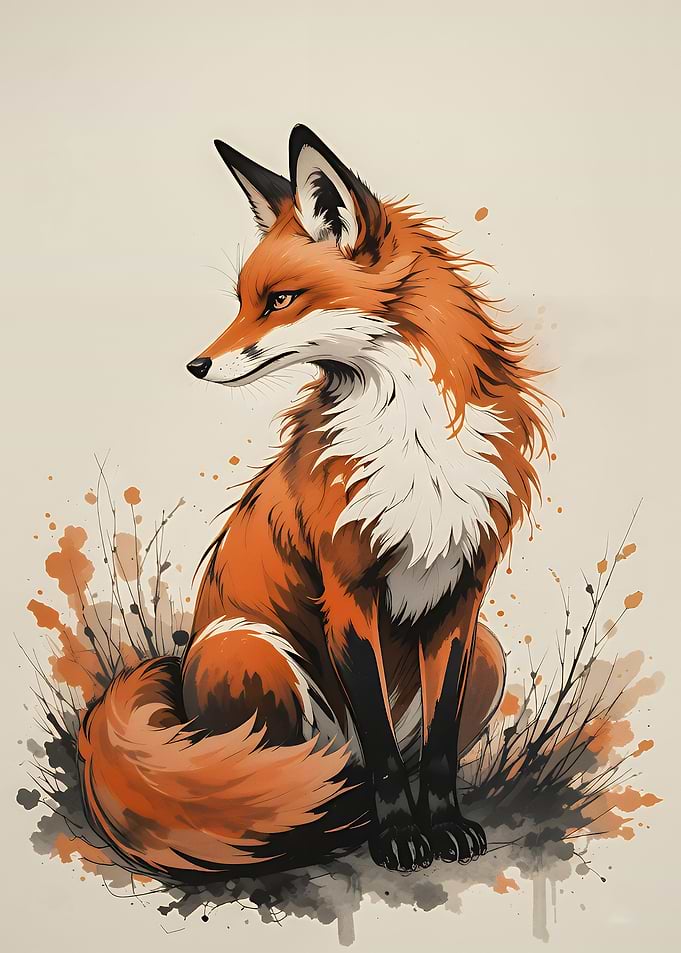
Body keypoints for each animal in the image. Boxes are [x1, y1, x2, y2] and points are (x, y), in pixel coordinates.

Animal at [78, 125, 549, 881]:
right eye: (242, 300)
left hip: (487, 653)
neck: (411, 439)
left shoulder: (462, 596)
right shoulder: (347, 590)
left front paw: (442, 825)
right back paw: (321, 822)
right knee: (287, 779)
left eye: (279, 299)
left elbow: (439, 747)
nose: (196, 365)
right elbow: (382, 751)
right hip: (253, 647)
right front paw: (397, 836)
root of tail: (178, 678)